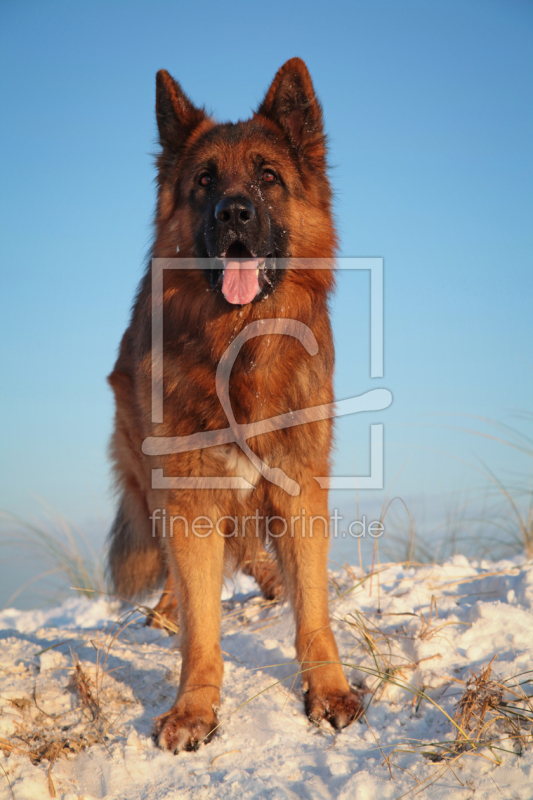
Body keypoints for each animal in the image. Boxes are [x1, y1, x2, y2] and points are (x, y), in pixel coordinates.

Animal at [106, 59, 364, 752]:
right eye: (204, 181)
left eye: (267, 176)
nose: (234, 213)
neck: (238, 347)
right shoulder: (192, 492)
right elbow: (202, 625)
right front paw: (194, 707)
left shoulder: (298, 484)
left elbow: (313, 610)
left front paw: (329, 691)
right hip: (155, 477)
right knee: (182, 567)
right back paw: (171, 608)